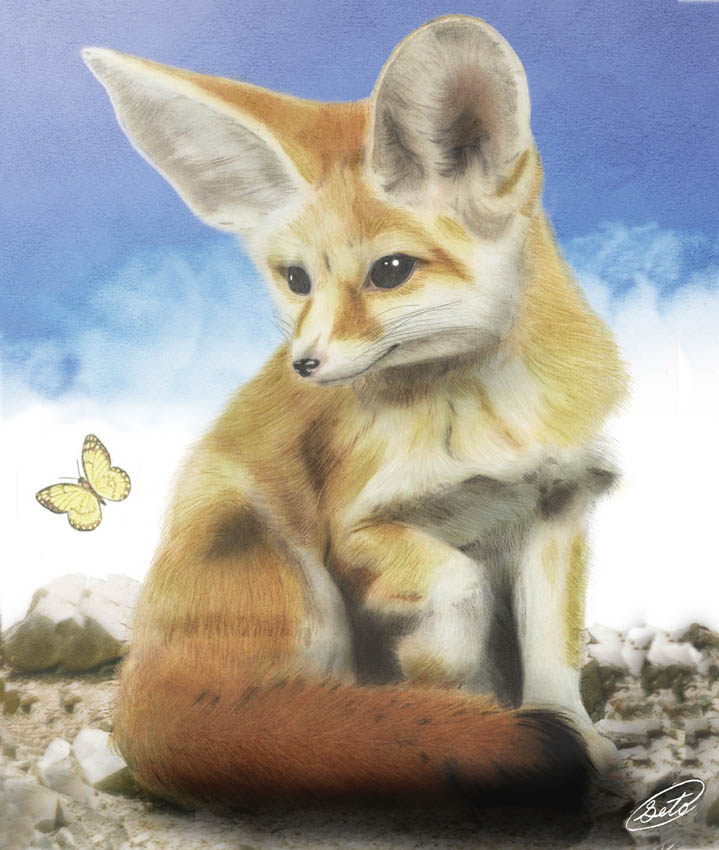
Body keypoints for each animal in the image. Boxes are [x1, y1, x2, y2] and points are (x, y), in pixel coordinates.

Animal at [83, 15, 628, 809]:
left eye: (390, 272)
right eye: (296, 279)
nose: (304, 365)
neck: (484, 419)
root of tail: (141, 705)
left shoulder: (557, 507)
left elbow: (552, 654)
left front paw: (574, 733)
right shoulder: (357, 530)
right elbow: (458, 593)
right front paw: (451, 690)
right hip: (279, 560)